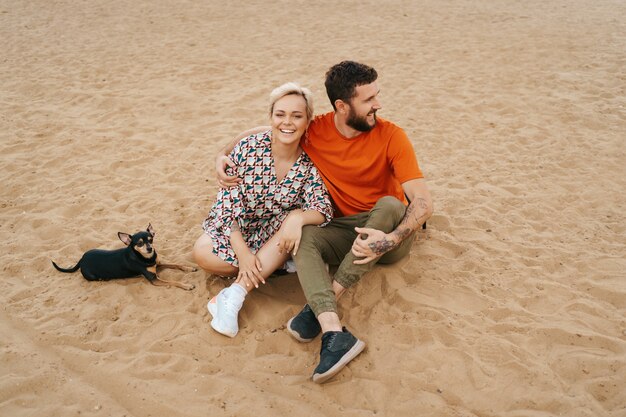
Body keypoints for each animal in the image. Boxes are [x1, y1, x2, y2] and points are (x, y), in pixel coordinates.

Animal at [52, 224, 196, 290]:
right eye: (139, 243)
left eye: (151, 240)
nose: (150, 248)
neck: (146, 258)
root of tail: (81, 259)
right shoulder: (154, 279)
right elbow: (173, 281)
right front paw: (187, 285)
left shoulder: (158, 263)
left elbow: (176, 264)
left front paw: (189, 268)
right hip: (92, 276)